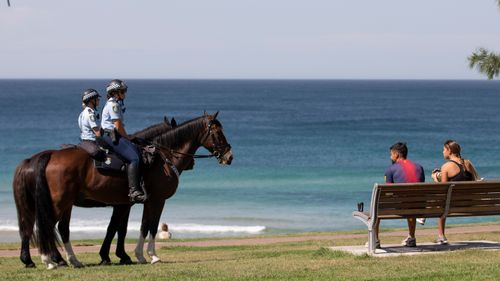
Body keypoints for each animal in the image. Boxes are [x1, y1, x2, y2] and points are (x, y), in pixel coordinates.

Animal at [33, 112, 232, 268]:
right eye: (218, 133)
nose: (229, 156)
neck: (162, 159)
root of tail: (51, 155)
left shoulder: (135, 203)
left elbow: (135, 227)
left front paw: (136, 255)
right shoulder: (156, 201)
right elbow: (149, 227)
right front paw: (152, 255)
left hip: (66, 204)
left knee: (60, 228)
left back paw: (69, 260)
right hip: (60, 203)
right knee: (46, 226)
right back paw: (49, 260)